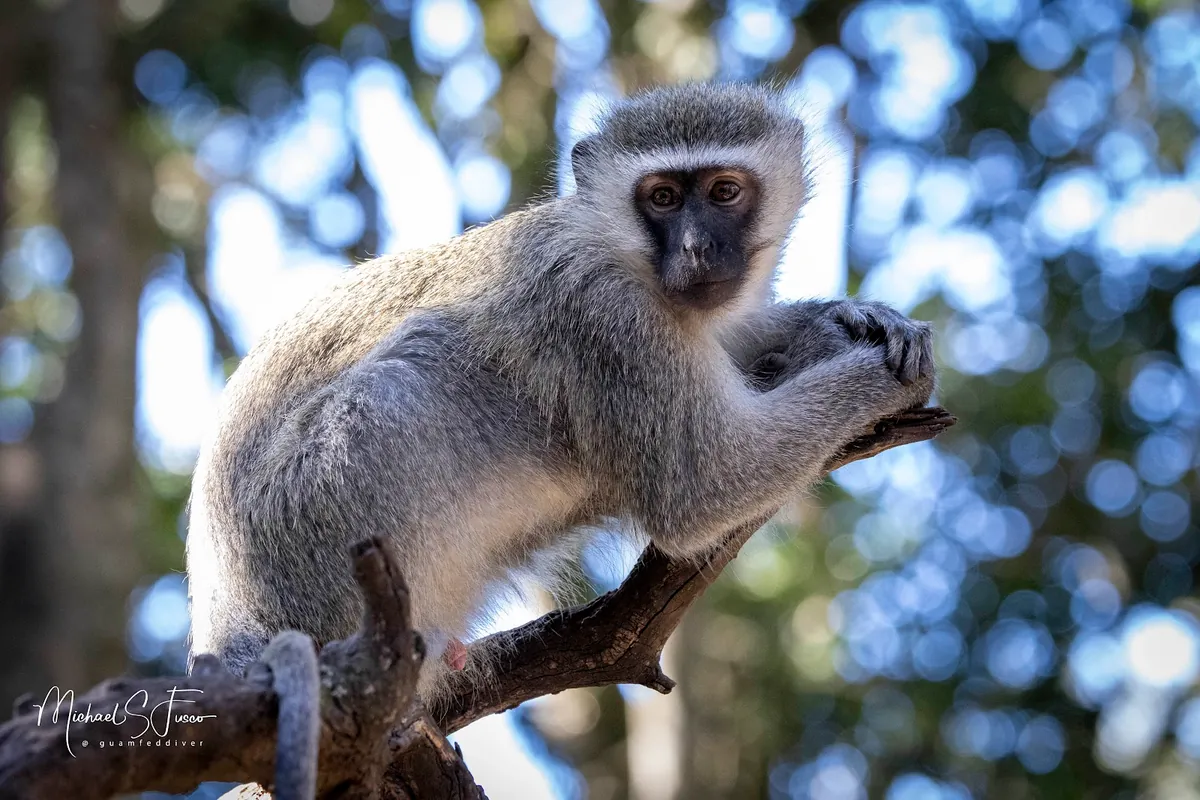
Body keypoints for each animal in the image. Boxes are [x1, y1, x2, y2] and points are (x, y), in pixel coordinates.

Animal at [185, 84, 935, 717]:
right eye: (663, 198)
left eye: (725, 191)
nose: (697, 251)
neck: (620, 248)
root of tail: (228, 631)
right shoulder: (600, 311)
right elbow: (700, 486)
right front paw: (881, 376)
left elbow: (734, 343)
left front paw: (847, 320)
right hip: (317, 536)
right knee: (401, 383)